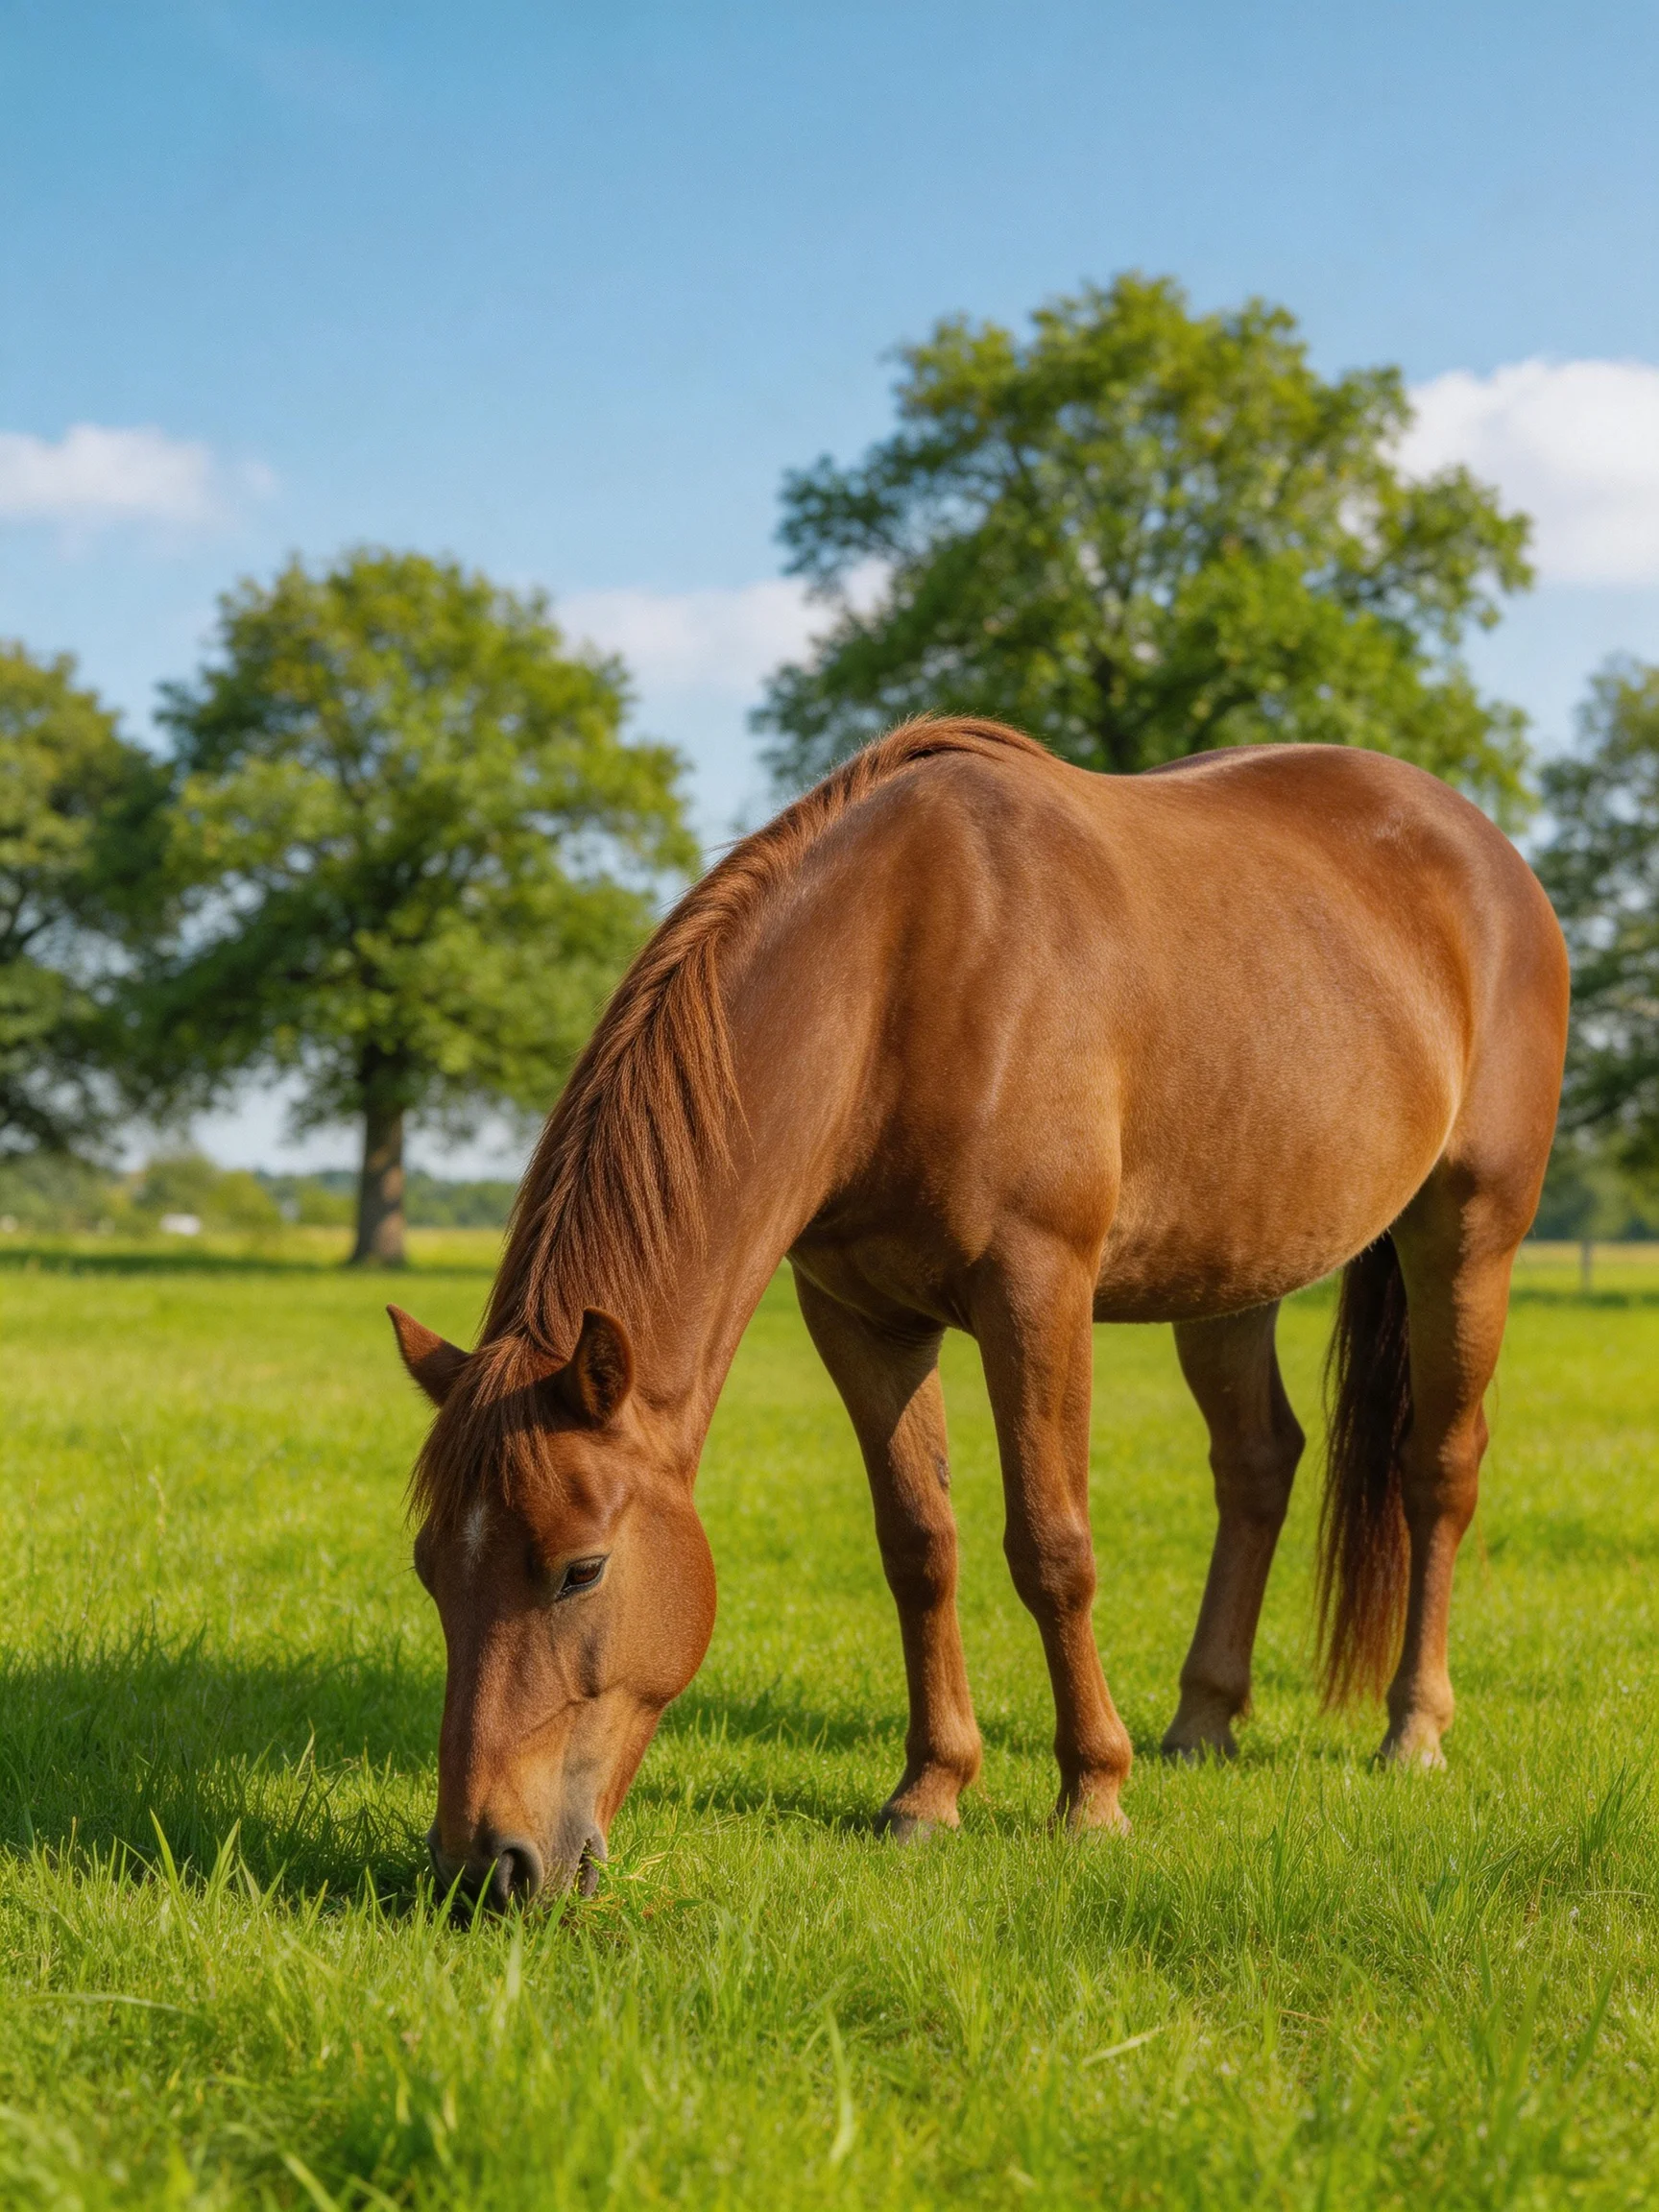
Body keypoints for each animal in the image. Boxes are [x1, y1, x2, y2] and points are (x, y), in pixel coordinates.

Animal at [390, 716, 1568, 1908]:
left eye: (580, 1569)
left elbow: (1052, 1546)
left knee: (1437, 1469)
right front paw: (930, 1791)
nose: (482, 1866)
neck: (901, 973)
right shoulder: (860, 1317)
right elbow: (919, 1545)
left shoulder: (1037, 1289)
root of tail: (1483, 849)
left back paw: (1412, 1731)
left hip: (1467, 1237)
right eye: (431, 1567)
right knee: (1257, 1463)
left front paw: (1094, 1796)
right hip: (1234, 1273)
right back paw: (1201, 1721)